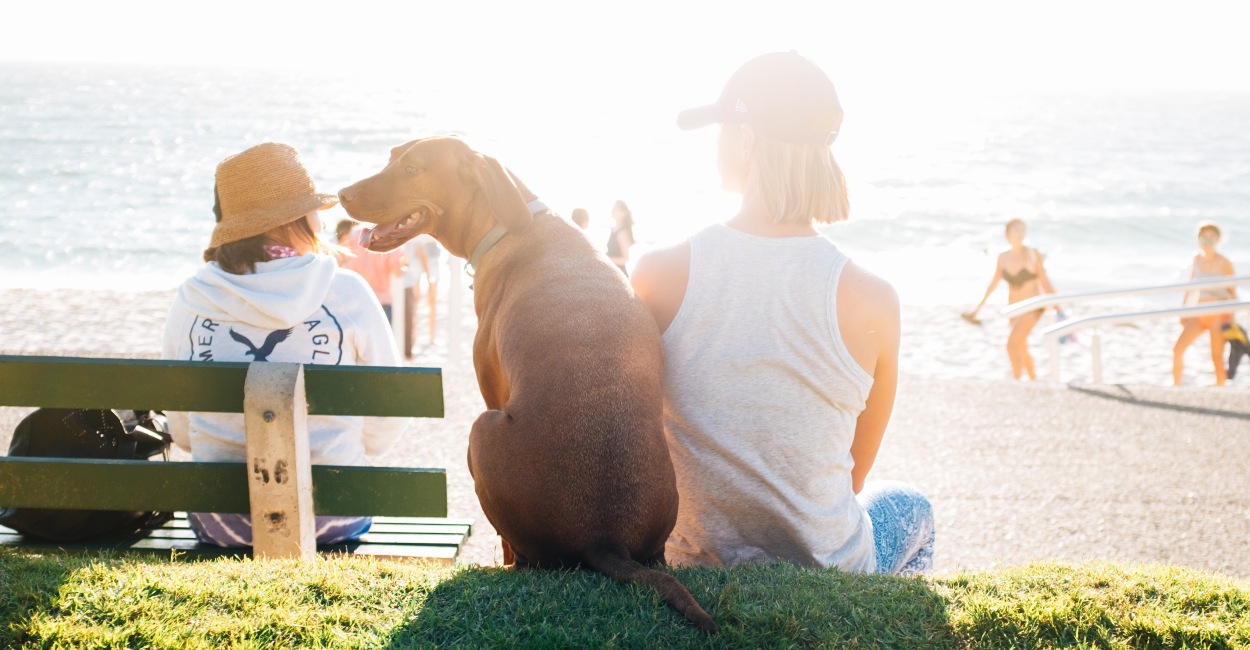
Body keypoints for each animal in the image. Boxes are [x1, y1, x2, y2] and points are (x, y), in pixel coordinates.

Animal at [337, 138, 720, 635]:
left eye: (412, 169)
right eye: (390, 157)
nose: (341, 193)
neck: (510, 222)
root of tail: (605, 538)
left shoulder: (491, 388)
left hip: (481, 430)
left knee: (521, 555)